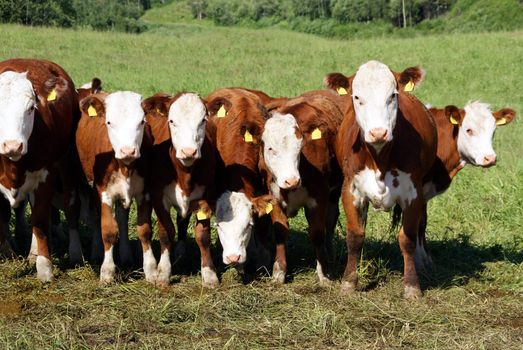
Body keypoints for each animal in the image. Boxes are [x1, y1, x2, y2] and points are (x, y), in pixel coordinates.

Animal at [0, 58, 80, 282]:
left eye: (30, 108)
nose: (12, 145)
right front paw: (6, 253)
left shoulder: (45, 175)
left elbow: (40, 219)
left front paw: (44, 267)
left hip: (67, 163)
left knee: (70, 206)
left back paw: (73, 251)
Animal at [75, 91, 154, 284]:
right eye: (109, 122)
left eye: (142, 121)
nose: (128, 151)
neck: (125, 166)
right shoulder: (104, 193)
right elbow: (108, 230)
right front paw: (107, 271)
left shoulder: (145, 192)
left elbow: (144, 230)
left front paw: (151, 269)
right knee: (96, 218)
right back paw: (97, 252)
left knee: (122, 219)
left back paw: (126, 255)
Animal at [141, 92, 217, 288]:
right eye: (172, 120)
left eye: (203, 120)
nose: (188, 151)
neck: (184, 173)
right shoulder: (158, 197)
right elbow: (166, 233)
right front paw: (163, 272)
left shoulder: (206, 197)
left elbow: (202, 236)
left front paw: (209, 273)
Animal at [324, 60, 438, 298]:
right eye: (357, 97)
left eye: (392, 95)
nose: (378, 133)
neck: (379, 157)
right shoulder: (351, 190)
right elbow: (355, 236)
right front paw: (349, 282)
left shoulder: (413, 193)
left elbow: (408, 238)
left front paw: (412, 286)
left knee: (422, 224)